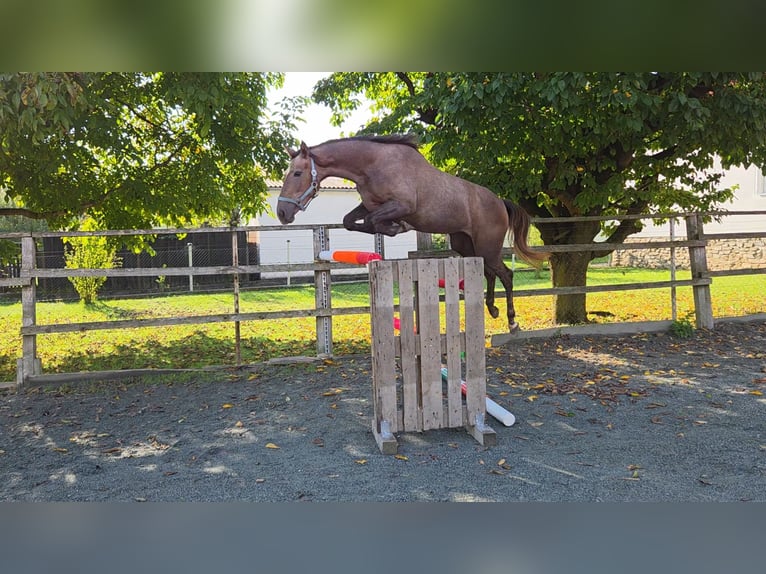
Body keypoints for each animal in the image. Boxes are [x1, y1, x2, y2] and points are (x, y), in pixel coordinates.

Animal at [276, 134, 547, 332]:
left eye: (297, 173)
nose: (282, 213)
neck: (371, 166)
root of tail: (500, 202)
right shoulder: (370, 204)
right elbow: (351, 221)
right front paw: (393, 227)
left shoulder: (402, 205)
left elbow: (374, 221)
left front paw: (397, 227)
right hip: (465, 245)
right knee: (489, 273)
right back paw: (492, 309)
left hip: (487, 246)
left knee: (506, 275)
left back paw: (512, 321)